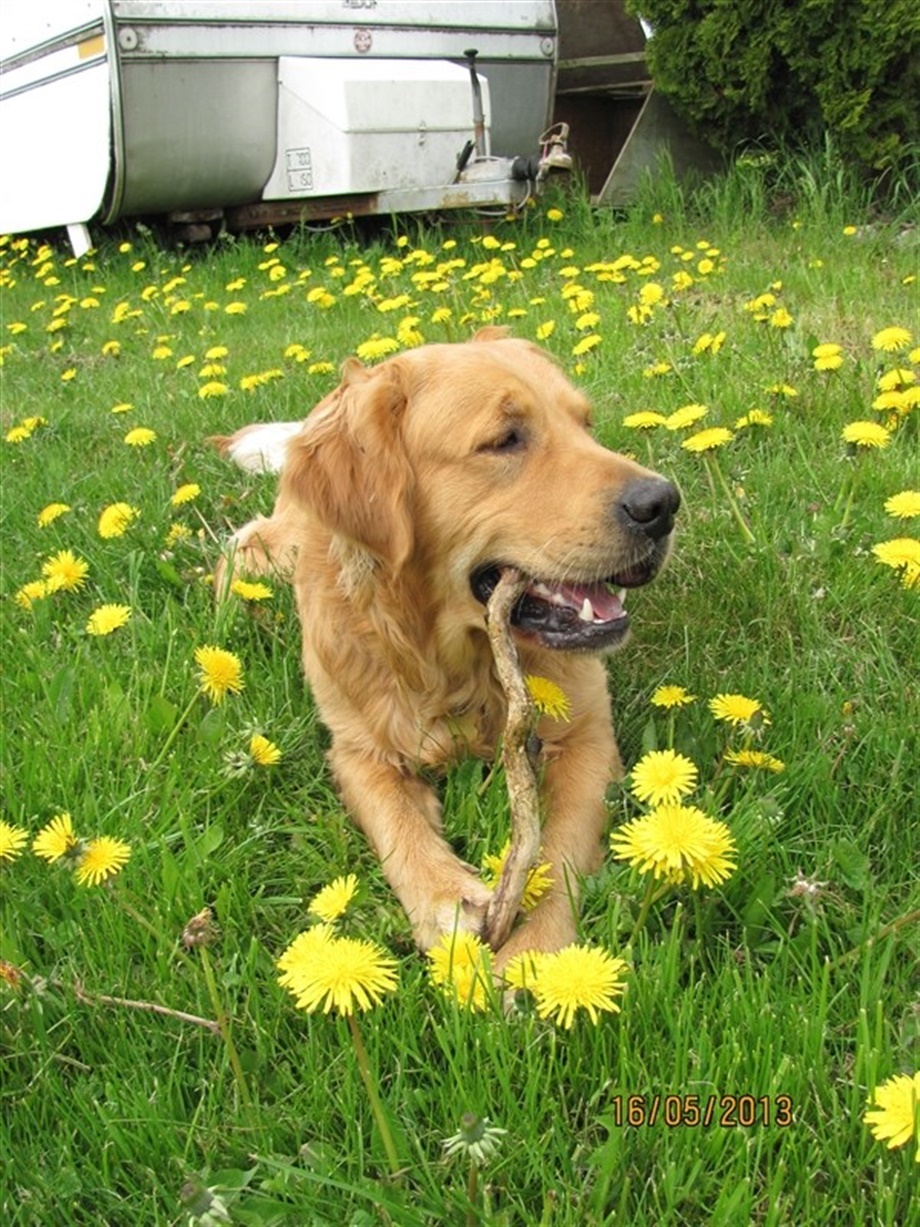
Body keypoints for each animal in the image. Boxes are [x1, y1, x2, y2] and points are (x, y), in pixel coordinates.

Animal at [214, 329, 679, 966]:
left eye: (585, 424)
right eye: (505, 439)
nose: (664, 504)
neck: (455, 664)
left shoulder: (587, 736)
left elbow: (558, 850)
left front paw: (537, 952)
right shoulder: (357, 752)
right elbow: (397, 824)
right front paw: (446, 898)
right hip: (274, 550)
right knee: (238, 549)